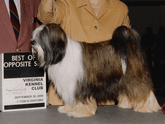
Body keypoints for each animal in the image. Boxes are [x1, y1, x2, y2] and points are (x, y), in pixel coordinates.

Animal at [30, 23, 160, 117]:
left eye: (43, 35)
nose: (32, 42)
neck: (62, 54)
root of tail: (128, 46)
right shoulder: (69, 87)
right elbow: (71, 99)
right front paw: (68, 108)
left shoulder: (79, 85)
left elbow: (80, 100)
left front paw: (79, 113)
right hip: (123, 79)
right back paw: (125, 104)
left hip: (134, 77)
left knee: (143, 91)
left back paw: (149, 107)